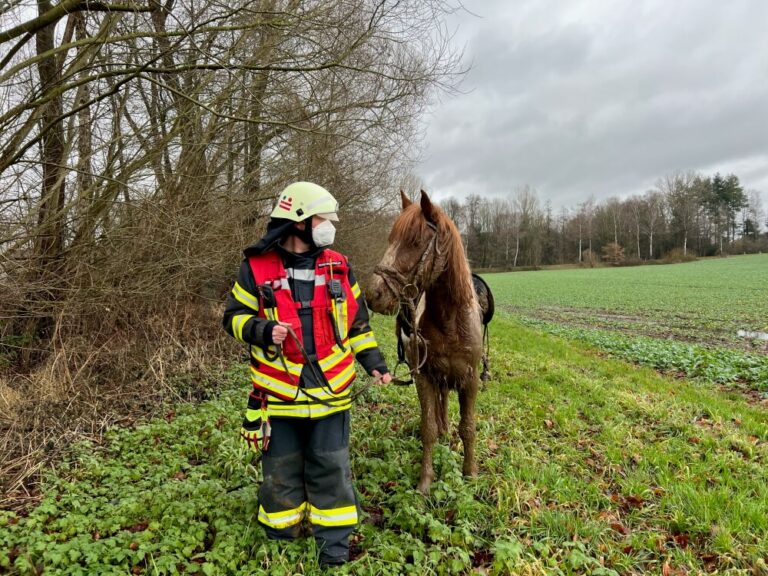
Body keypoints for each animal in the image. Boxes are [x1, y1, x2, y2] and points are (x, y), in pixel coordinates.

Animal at [366, 190, 489, 493]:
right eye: (390, 239)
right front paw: (425, 482)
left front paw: (470, 474)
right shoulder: (424, 377)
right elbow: (428, 428)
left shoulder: (470, 379)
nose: (373, 294)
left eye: (413, 241)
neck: (450, 322)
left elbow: (468, 427)